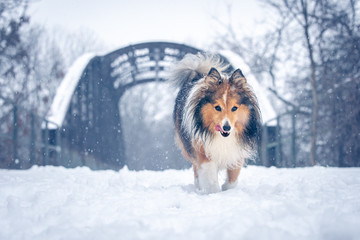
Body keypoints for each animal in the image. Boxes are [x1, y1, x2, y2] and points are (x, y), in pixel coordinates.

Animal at [170, 53, 260, 193]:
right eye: (217, 107)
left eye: (234, 108)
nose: (226, 127)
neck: (223, 138)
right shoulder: (202, 149)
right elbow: (209, 177)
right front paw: (214, 192)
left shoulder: (236, 151)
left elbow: (233, 177)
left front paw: (227, 189)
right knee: (196, 169)